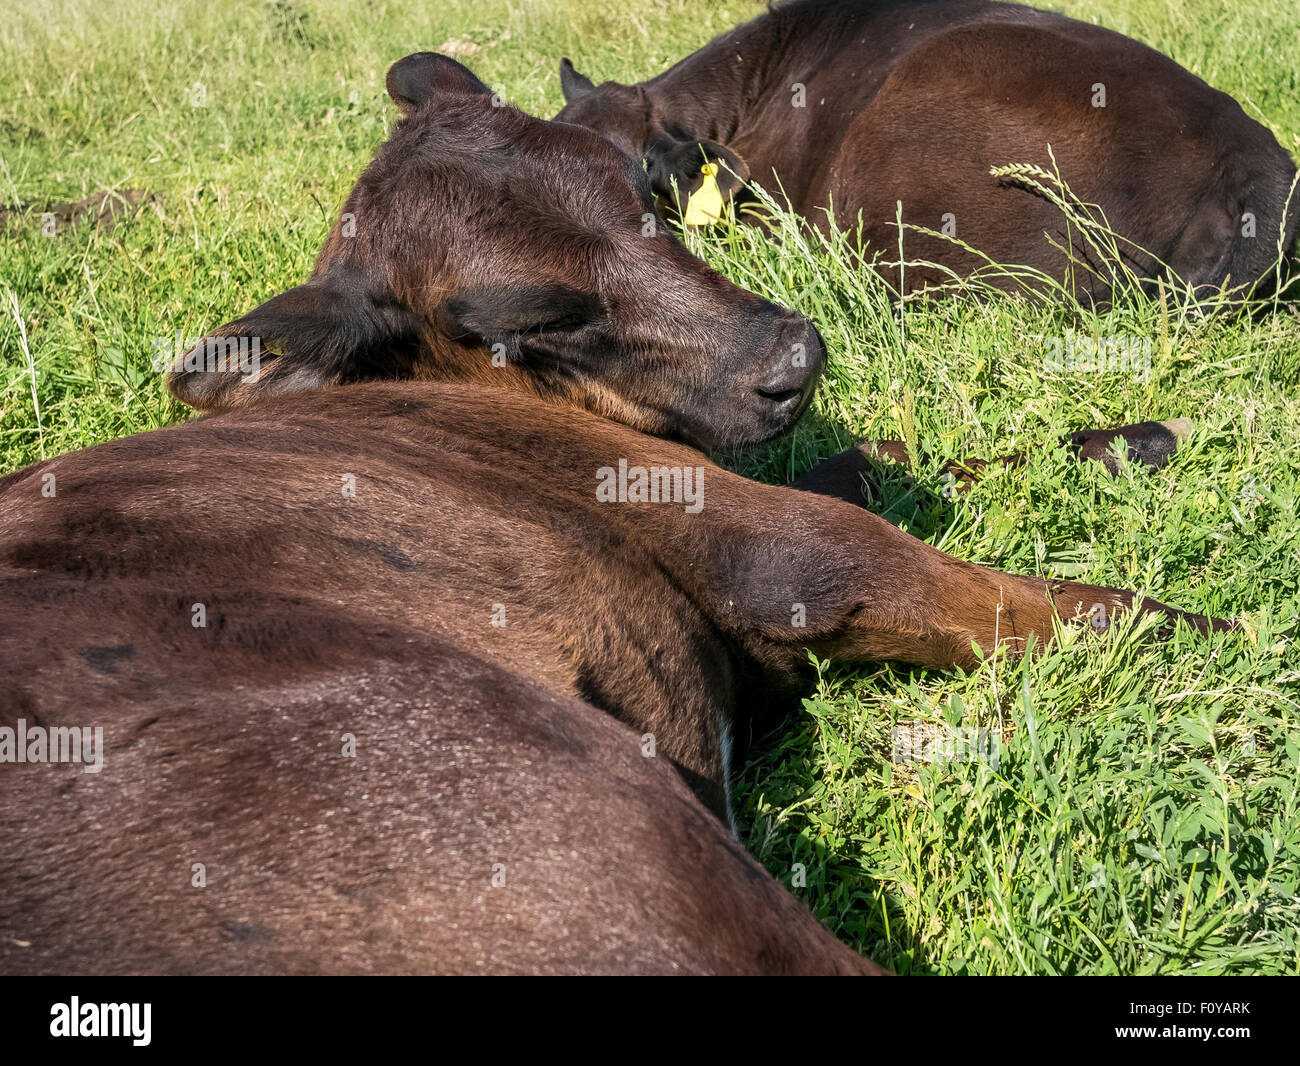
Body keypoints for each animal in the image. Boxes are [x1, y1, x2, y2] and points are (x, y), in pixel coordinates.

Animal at [0, 56, 1232, 972]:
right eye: (527, 322)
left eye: (644, 194)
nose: (791, 358)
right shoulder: (767, 551)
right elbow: (988, 582)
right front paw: (1215, 640)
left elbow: (901, 460)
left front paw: (1134, 441)